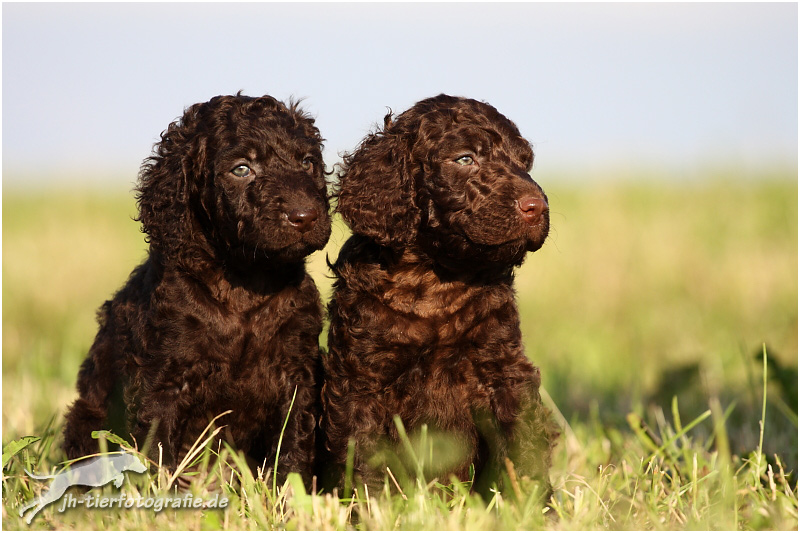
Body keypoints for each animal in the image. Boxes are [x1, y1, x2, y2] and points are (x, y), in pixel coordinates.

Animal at [61, 93, 332, 484]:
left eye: (308, 163)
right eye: (241, 169)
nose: (305, 216)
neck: (244, 281)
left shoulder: (297, 371)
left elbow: (294, 442)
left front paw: (291, 493)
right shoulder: (164, 379)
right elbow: (158, 449)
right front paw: (164, 495)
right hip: (87, 421)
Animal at [322, 93, 560, 496]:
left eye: (524, 162)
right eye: (465, 159)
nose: (537, 208)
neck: (436, 278)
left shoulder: (504, 369)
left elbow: (522, 443)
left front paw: (530, 502)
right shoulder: (361, 379)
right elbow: (364, 452)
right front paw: (372, 505)